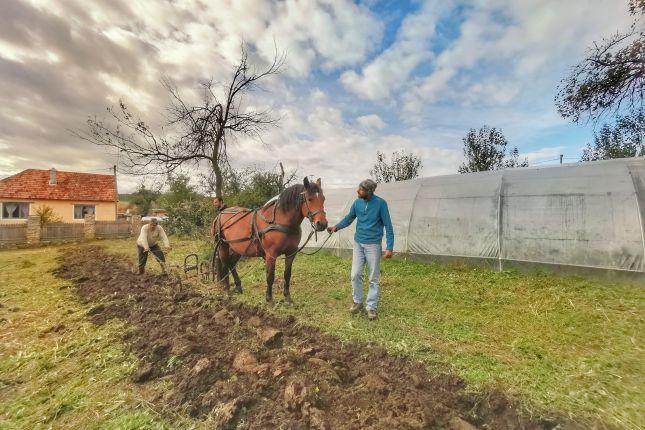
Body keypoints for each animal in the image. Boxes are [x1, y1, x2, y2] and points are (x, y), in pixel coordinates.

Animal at [214, 176, 330, 304]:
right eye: (309, 199)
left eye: (323, 199)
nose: (322, 224)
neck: (281, 221)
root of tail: (222, 213)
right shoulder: (271, 254)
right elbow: (270, 276)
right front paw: (269, 299)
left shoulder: (291, 253)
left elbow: (287, 274)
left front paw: (287, 297)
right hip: (223, 245)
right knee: (225, 265)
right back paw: (227, 290)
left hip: (238, 248)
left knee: (232, 264)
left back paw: (238, 287)